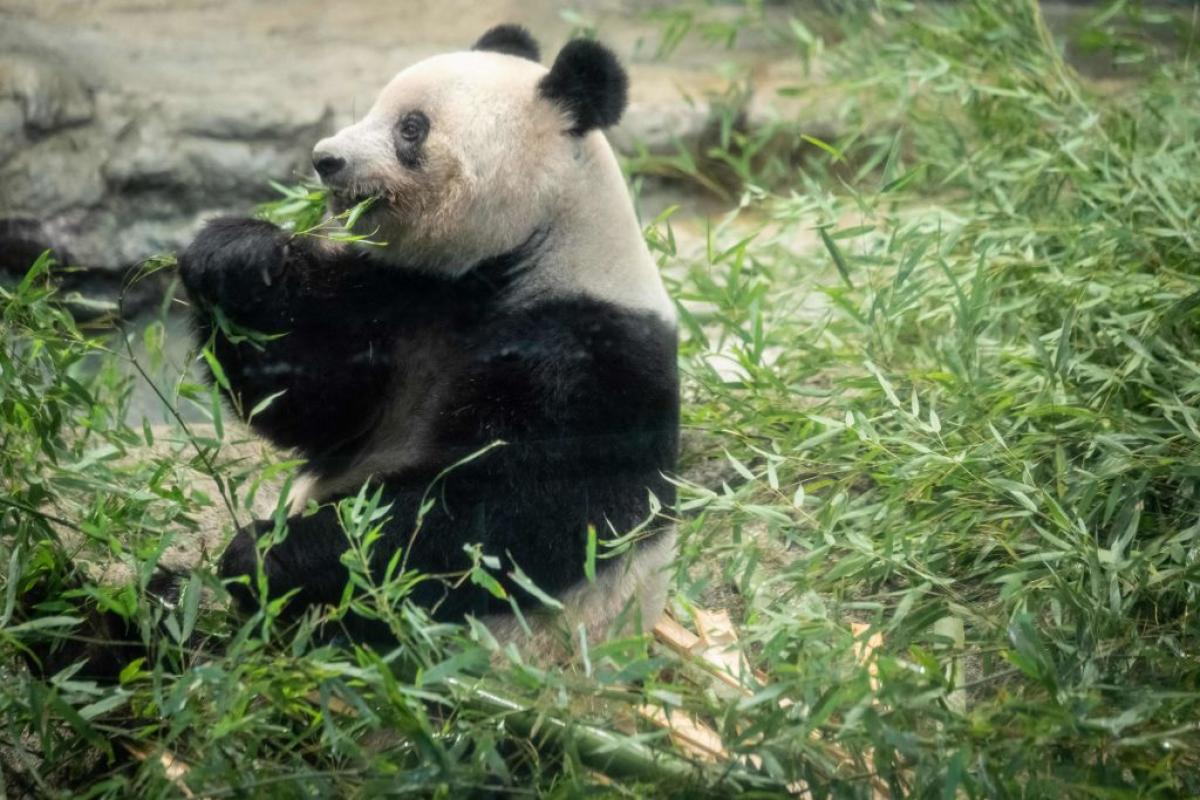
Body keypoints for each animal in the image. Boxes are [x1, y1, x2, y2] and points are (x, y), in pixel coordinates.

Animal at [178, 25, 679, 655]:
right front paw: (235, 256)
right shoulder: (405, 296)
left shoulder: (591, 357)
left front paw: (264, 553)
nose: (326, 159)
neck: (522, 254)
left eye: (411, 127)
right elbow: (317, 398)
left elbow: (502, 519)